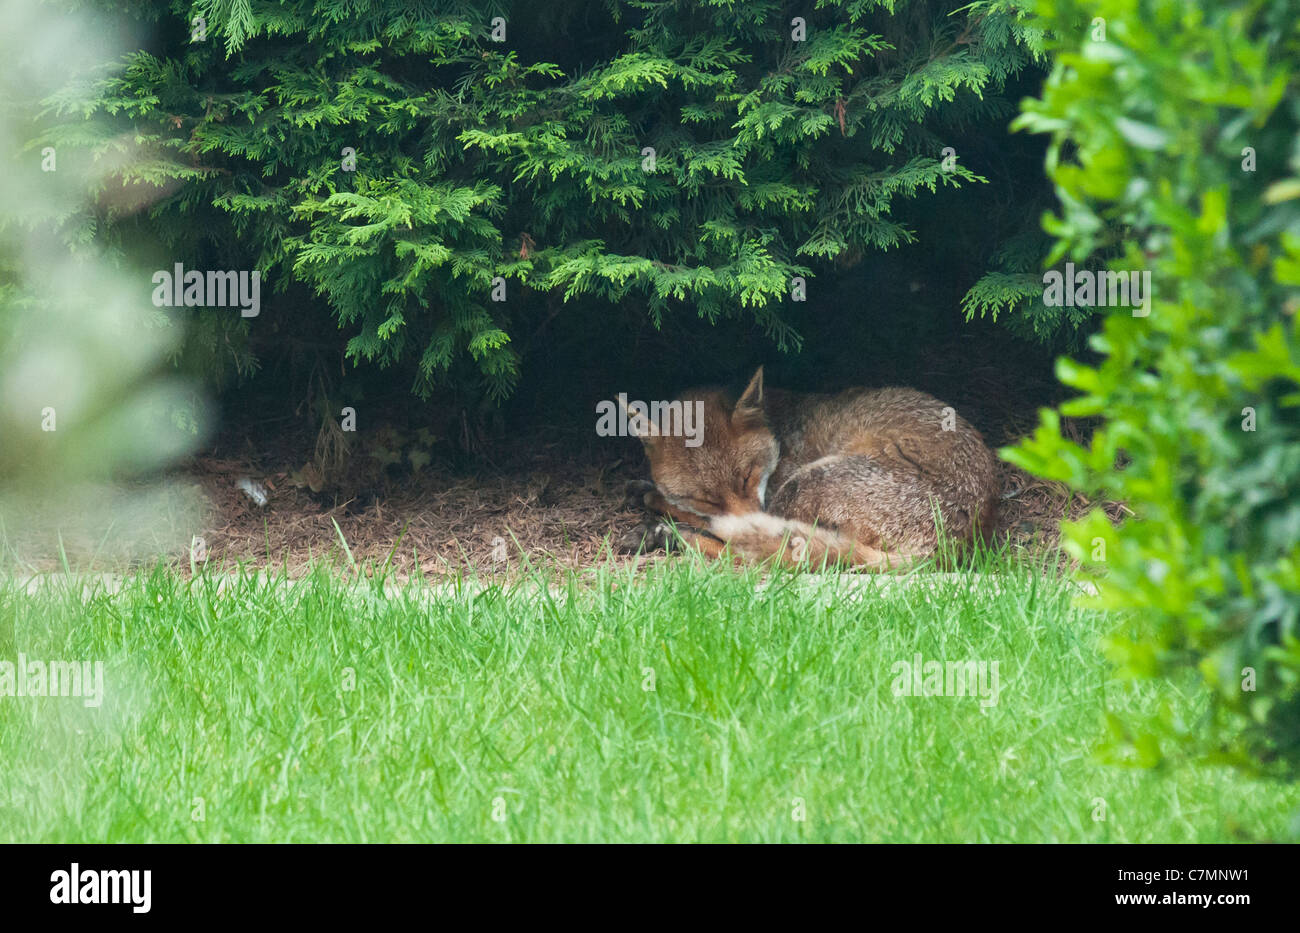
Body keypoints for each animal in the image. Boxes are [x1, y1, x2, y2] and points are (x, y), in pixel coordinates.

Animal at [624, 369, 998, 574]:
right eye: (706, 498)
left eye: (747, 476)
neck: (779, 431)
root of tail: (951, 545)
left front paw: (657, 501)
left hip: (805, 482)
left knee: (769, 553)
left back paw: (669, 533)